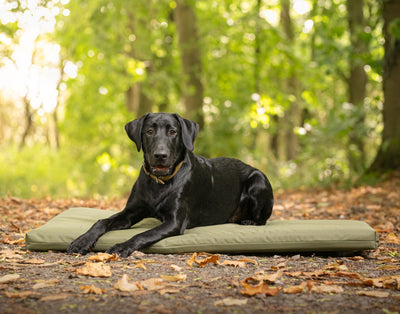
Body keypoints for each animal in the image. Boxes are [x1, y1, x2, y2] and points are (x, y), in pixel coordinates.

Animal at [68, 114, 276, 256]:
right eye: (149, 131)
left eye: (173, 131)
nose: (160, 155)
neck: (159, 182)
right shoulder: (130, 212)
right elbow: (101, 221)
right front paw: (82, 240)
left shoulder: (174, 222)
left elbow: (143, 234)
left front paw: (122, 246)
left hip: (258, 180)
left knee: (263, 220)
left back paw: (248, 221)